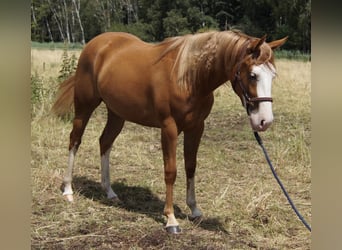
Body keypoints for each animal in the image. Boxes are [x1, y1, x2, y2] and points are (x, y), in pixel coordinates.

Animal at [53, 30, 288, 232]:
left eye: (273, 76)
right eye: (253, 75)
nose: (264, 121)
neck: (189, 78)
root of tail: (97, 43)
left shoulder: (196, 128)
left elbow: (191, 167)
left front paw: (194, 210)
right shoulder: (169, 128)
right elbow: (171, 171)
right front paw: (171, 219)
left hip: (117, 113)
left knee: (105, 142)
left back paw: (109, 192)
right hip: (84, 106)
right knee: (75, 140)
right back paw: (68, 190)